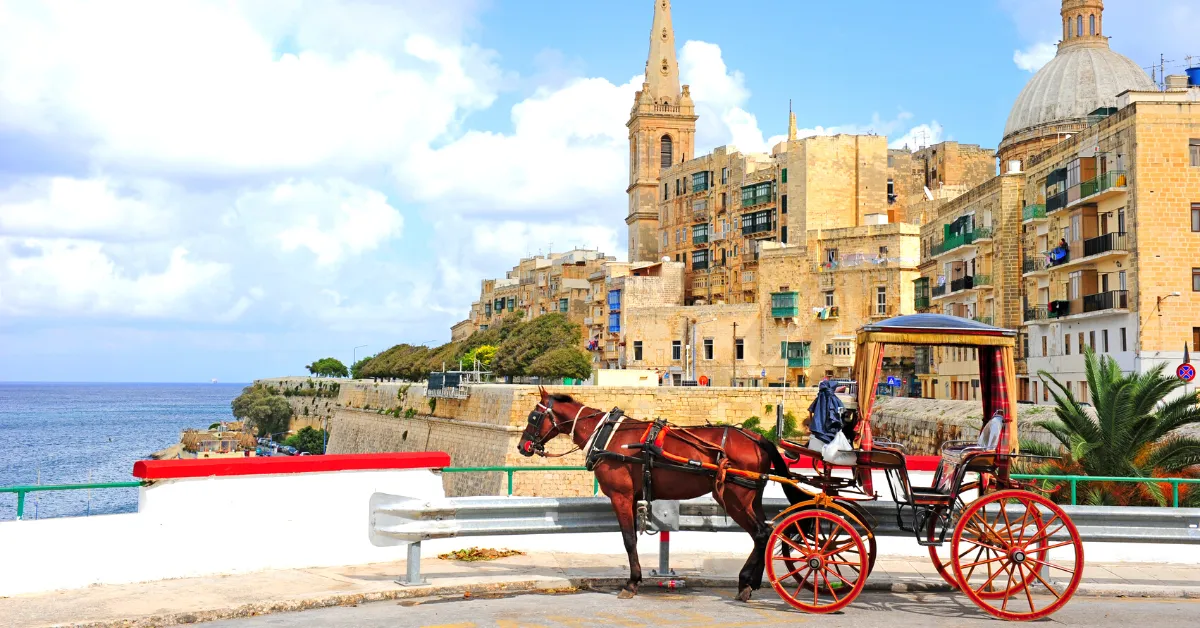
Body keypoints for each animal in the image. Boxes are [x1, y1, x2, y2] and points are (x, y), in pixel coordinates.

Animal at [511, 391, 801, 602]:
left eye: (534, 416)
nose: (522, 445)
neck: (607, 435)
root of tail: (758, 438)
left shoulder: (621, 496)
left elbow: (629, 540)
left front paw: (632, 583)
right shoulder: (632, 497)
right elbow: (632, 539)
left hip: (733, 498)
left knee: (760, 534)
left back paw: (745, 583)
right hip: (750, 498)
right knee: (765, 533)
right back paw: (752, 581)